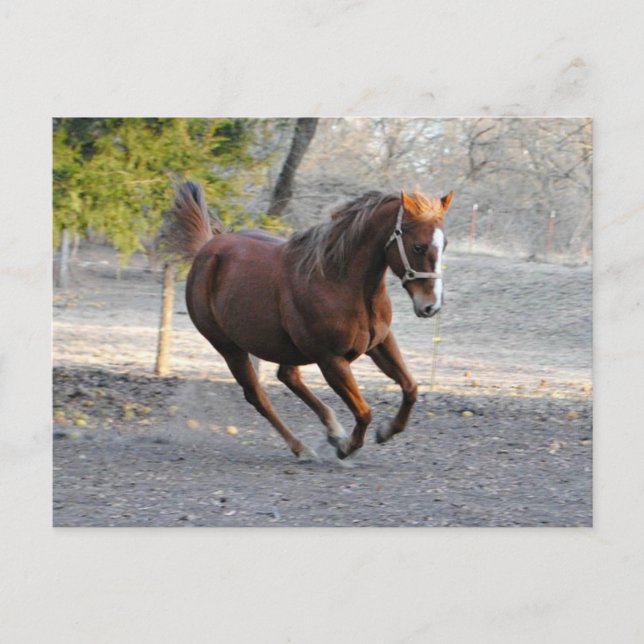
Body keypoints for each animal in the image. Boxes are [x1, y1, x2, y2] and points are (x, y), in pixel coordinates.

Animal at [170, 182, 453, 460]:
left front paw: (385, 432)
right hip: (230, 348)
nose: (431, 306)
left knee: (287, 376)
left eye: (445, 244)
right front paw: (346, 448)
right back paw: (302, 448)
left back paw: (333, 431)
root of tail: (206, 249)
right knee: (258, 396)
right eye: (418, 246)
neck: (338, 281)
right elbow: (364, 412)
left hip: (283, 346)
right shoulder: (331, 360)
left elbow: (410, 388)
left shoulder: (380, 342)